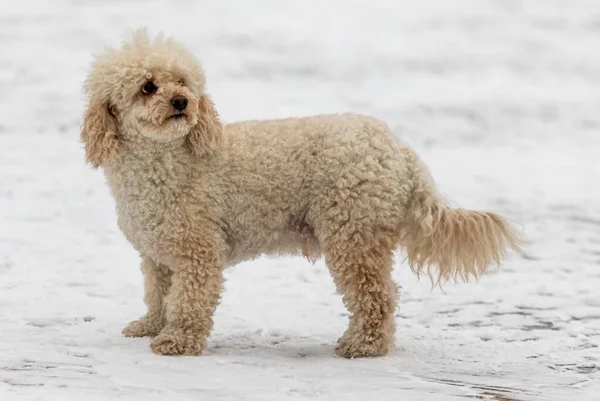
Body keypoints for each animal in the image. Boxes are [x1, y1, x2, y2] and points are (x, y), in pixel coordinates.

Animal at [81, 29, 524, 358]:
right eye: (147, 86)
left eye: (183, 82)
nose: (181, 102)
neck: (168, 161)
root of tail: (400, 152)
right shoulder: (159, 254)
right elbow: (158, 295)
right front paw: (150, 326)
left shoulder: (198, 251)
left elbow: (189, 300)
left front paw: (177, 341)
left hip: (352, 233)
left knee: (377, 297)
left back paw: (362, 345)